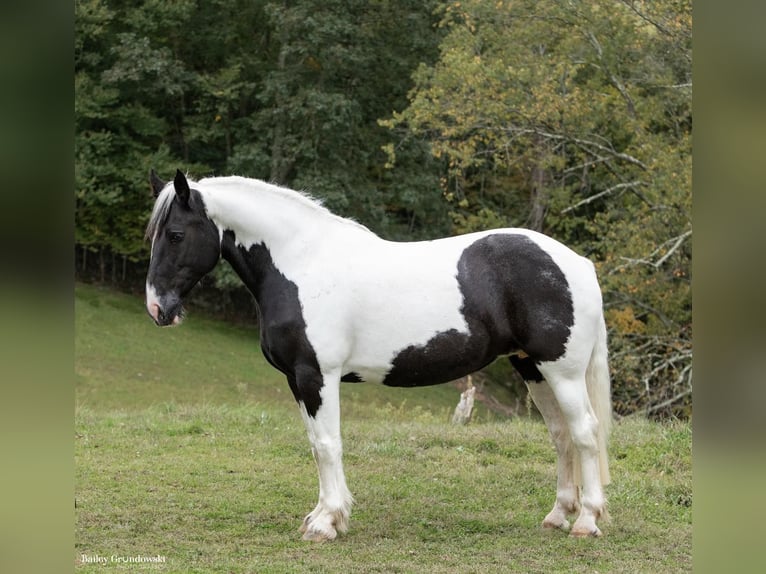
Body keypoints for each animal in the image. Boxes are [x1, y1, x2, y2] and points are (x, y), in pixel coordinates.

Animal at [144, 169, 616, 544]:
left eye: (176, 234)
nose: (156, 308)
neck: (302, 263)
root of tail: (578, 263)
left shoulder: (317, 376)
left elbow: (328, 444)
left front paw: (327, 523)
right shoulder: (297, 380)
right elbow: (315, 444)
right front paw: (320, 516)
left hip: (562, 372)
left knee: (585, 433)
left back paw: (587, 522)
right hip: (532, 368)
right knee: (561, 435)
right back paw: (557, 516)